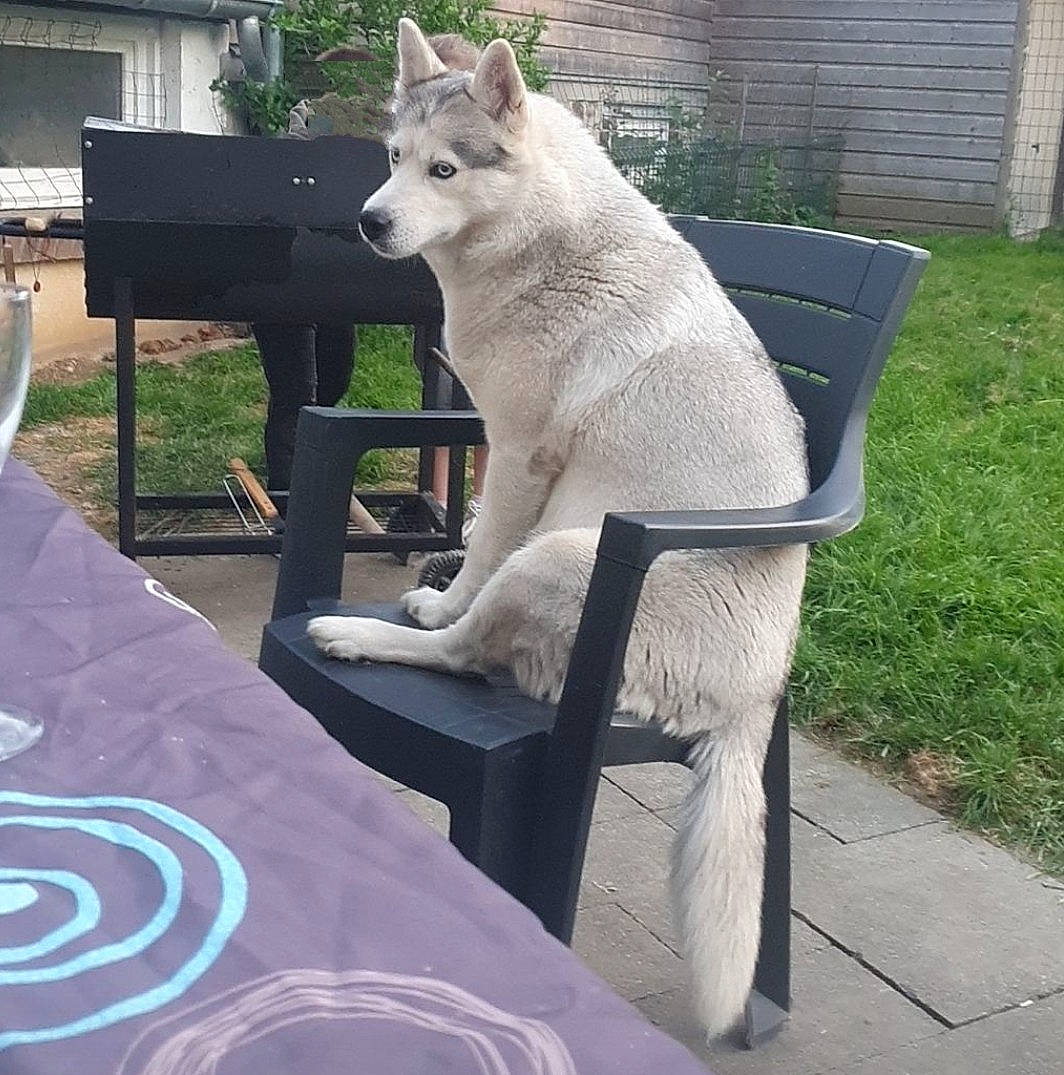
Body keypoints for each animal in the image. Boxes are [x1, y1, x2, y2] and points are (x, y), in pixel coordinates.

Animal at [308, 19, 810, 1039]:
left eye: (447, 169)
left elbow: (478, 551)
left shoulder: (518, 457)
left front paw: (438, 590)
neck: (541, 240)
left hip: (561, 553)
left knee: (462, 650)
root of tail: (752, 705)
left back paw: (358, 630)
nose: (370, 222)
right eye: (392, 158)